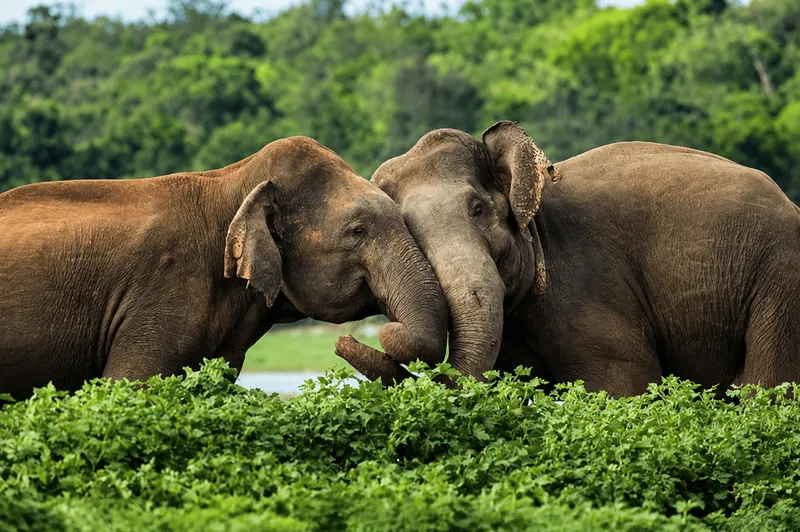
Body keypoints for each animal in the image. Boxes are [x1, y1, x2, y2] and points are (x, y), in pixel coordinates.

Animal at [344, 121, 800, 398]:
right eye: (408, 229)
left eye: (478, 209)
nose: (349, 339)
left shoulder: (588, 289)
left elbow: (624, 385)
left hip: (781, 281)